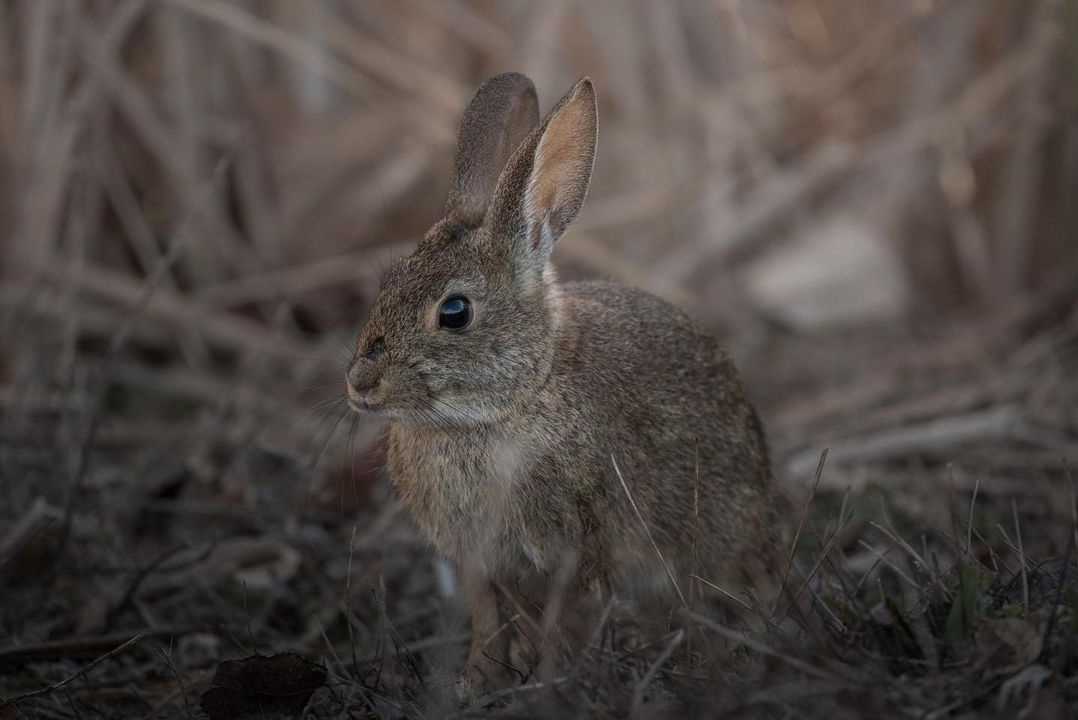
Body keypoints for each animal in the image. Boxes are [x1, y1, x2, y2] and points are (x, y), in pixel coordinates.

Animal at [344, 73, 784, 698]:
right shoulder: (476, 561)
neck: (514, 399)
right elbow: (487, 621)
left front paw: (552, 682)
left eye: (454, 312)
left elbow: (564, 616)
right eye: (389, 283)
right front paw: (474, 683)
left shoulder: (574, 547)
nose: (361, 384)